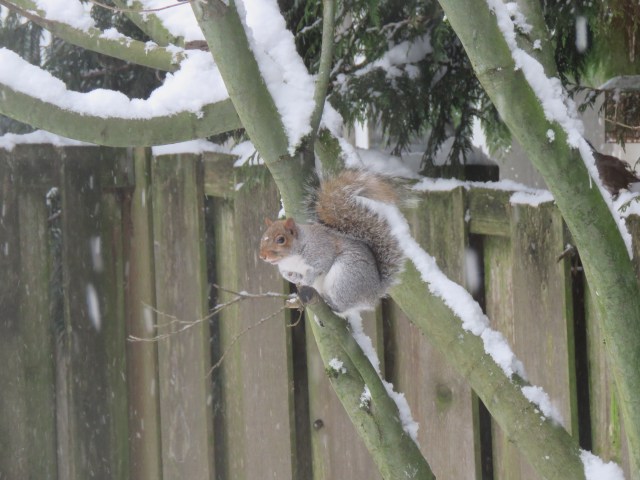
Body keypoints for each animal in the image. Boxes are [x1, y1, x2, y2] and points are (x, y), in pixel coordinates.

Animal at [259, 170, 405, 315]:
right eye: (263, 237)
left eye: (281, 239)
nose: (262, 256)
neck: (291, 259)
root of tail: (374, 293)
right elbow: (287, 275)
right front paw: (293, 276)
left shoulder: (322, 250)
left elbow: (320, 267)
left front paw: (306, 279)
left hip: (345, 279)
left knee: (343, 306)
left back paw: (331, 303)